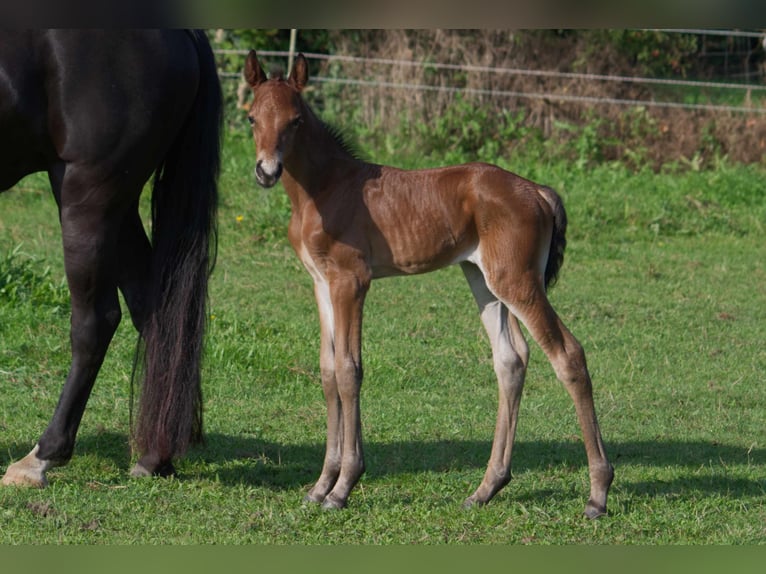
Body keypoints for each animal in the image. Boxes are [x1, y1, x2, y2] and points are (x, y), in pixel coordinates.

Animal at [0, 31, 222, 488]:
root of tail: (179, 33)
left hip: (88, 196)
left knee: (95, 323)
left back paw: (41, 457)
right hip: (115, 204)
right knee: (153, 312)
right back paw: (155, 456)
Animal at [243, 53, 616, 516]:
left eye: (295, 121)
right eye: (251, 117)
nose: (267, 170)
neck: (326, 189)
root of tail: (538, 192)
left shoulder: (351, 281)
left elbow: (350, 370)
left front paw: (343, 486)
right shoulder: (321, 283)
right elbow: (329, 371)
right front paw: (320, 485)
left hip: (518, 280)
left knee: (568, 354)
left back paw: (598, 493)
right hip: (484, 279)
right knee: (510, 359)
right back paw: (486, 488)